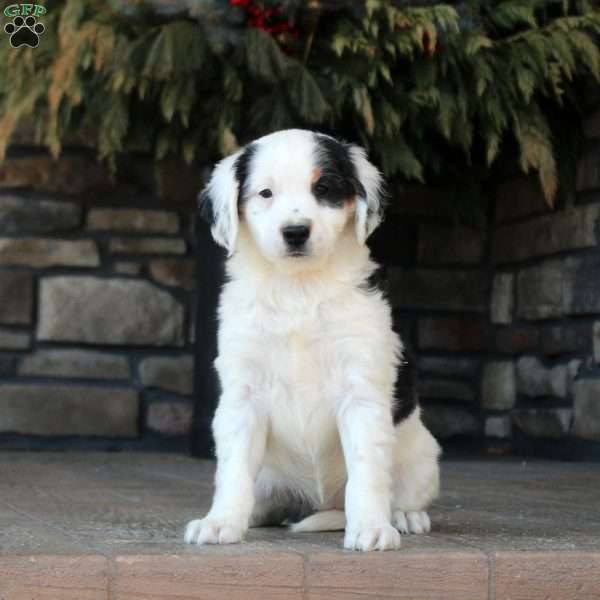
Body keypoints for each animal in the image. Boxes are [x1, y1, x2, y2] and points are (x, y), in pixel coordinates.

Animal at [185, 129, 442, 552]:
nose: (295, 232)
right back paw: (253, 514)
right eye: (266, 193)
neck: (298, 288)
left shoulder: (360, 390)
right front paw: (220, 522)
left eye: (323, 188)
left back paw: (404, 515)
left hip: (422, 453)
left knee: (403, 490)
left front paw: (371, 527)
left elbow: (367, 471)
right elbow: (233, 470)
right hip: (271, 476)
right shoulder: (243, 394)